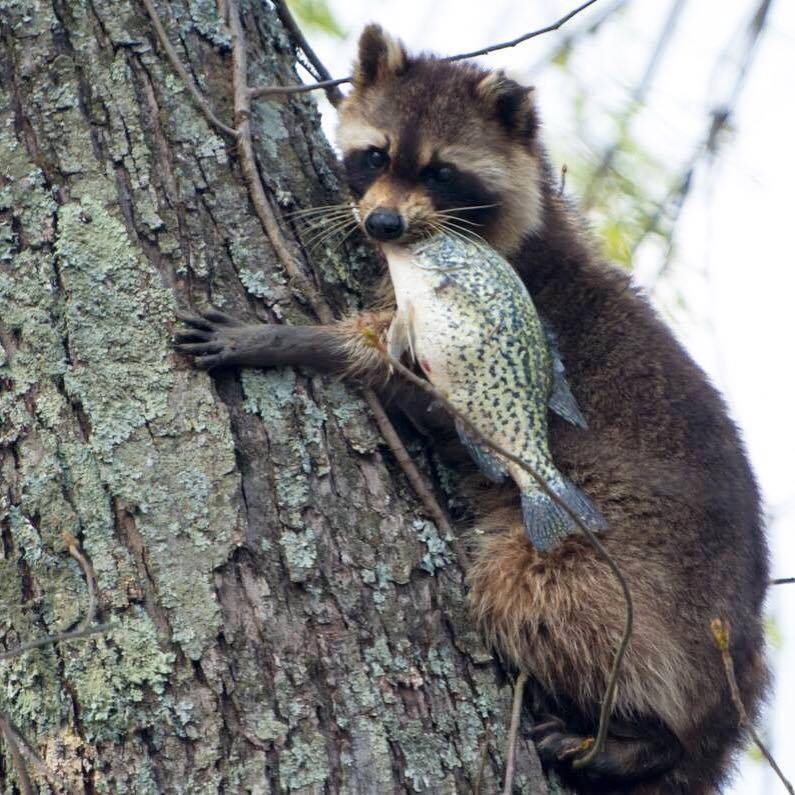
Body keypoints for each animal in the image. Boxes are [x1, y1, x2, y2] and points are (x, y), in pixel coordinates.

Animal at [175, 25, 769, 795]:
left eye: (442, 172)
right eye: (377, 154)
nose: (382, 222)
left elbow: (384, 364)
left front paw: (279, 338)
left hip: (633, 569)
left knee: (549, 601)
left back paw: (645, 737)